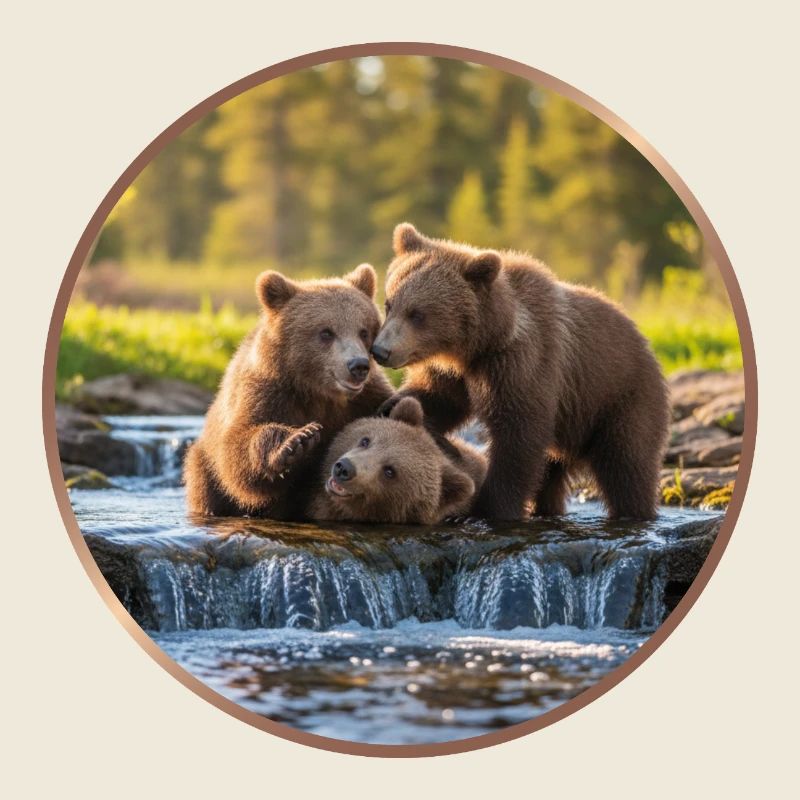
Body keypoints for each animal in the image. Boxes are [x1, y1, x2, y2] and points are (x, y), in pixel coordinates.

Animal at [184, 264, 394, 519]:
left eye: (363, 331)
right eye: (326, 332)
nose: (358, 366)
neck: (319, 392)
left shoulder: (367, 397)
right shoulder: (266, 391)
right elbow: (238, 448)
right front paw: (298, 440)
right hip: (204, 470)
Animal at [371, 223, 670, 521]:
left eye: (417, 314)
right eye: (389, 303)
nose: (380, 350)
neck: (482, 344)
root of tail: (646, 345)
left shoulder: (524, 364)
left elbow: (518, 436)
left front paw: (487, 509)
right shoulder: (457, 372)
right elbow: (441, 398)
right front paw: (391, 405)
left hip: (620, 398)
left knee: (627, 464)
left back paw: (635, 510)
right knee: (552, 476)